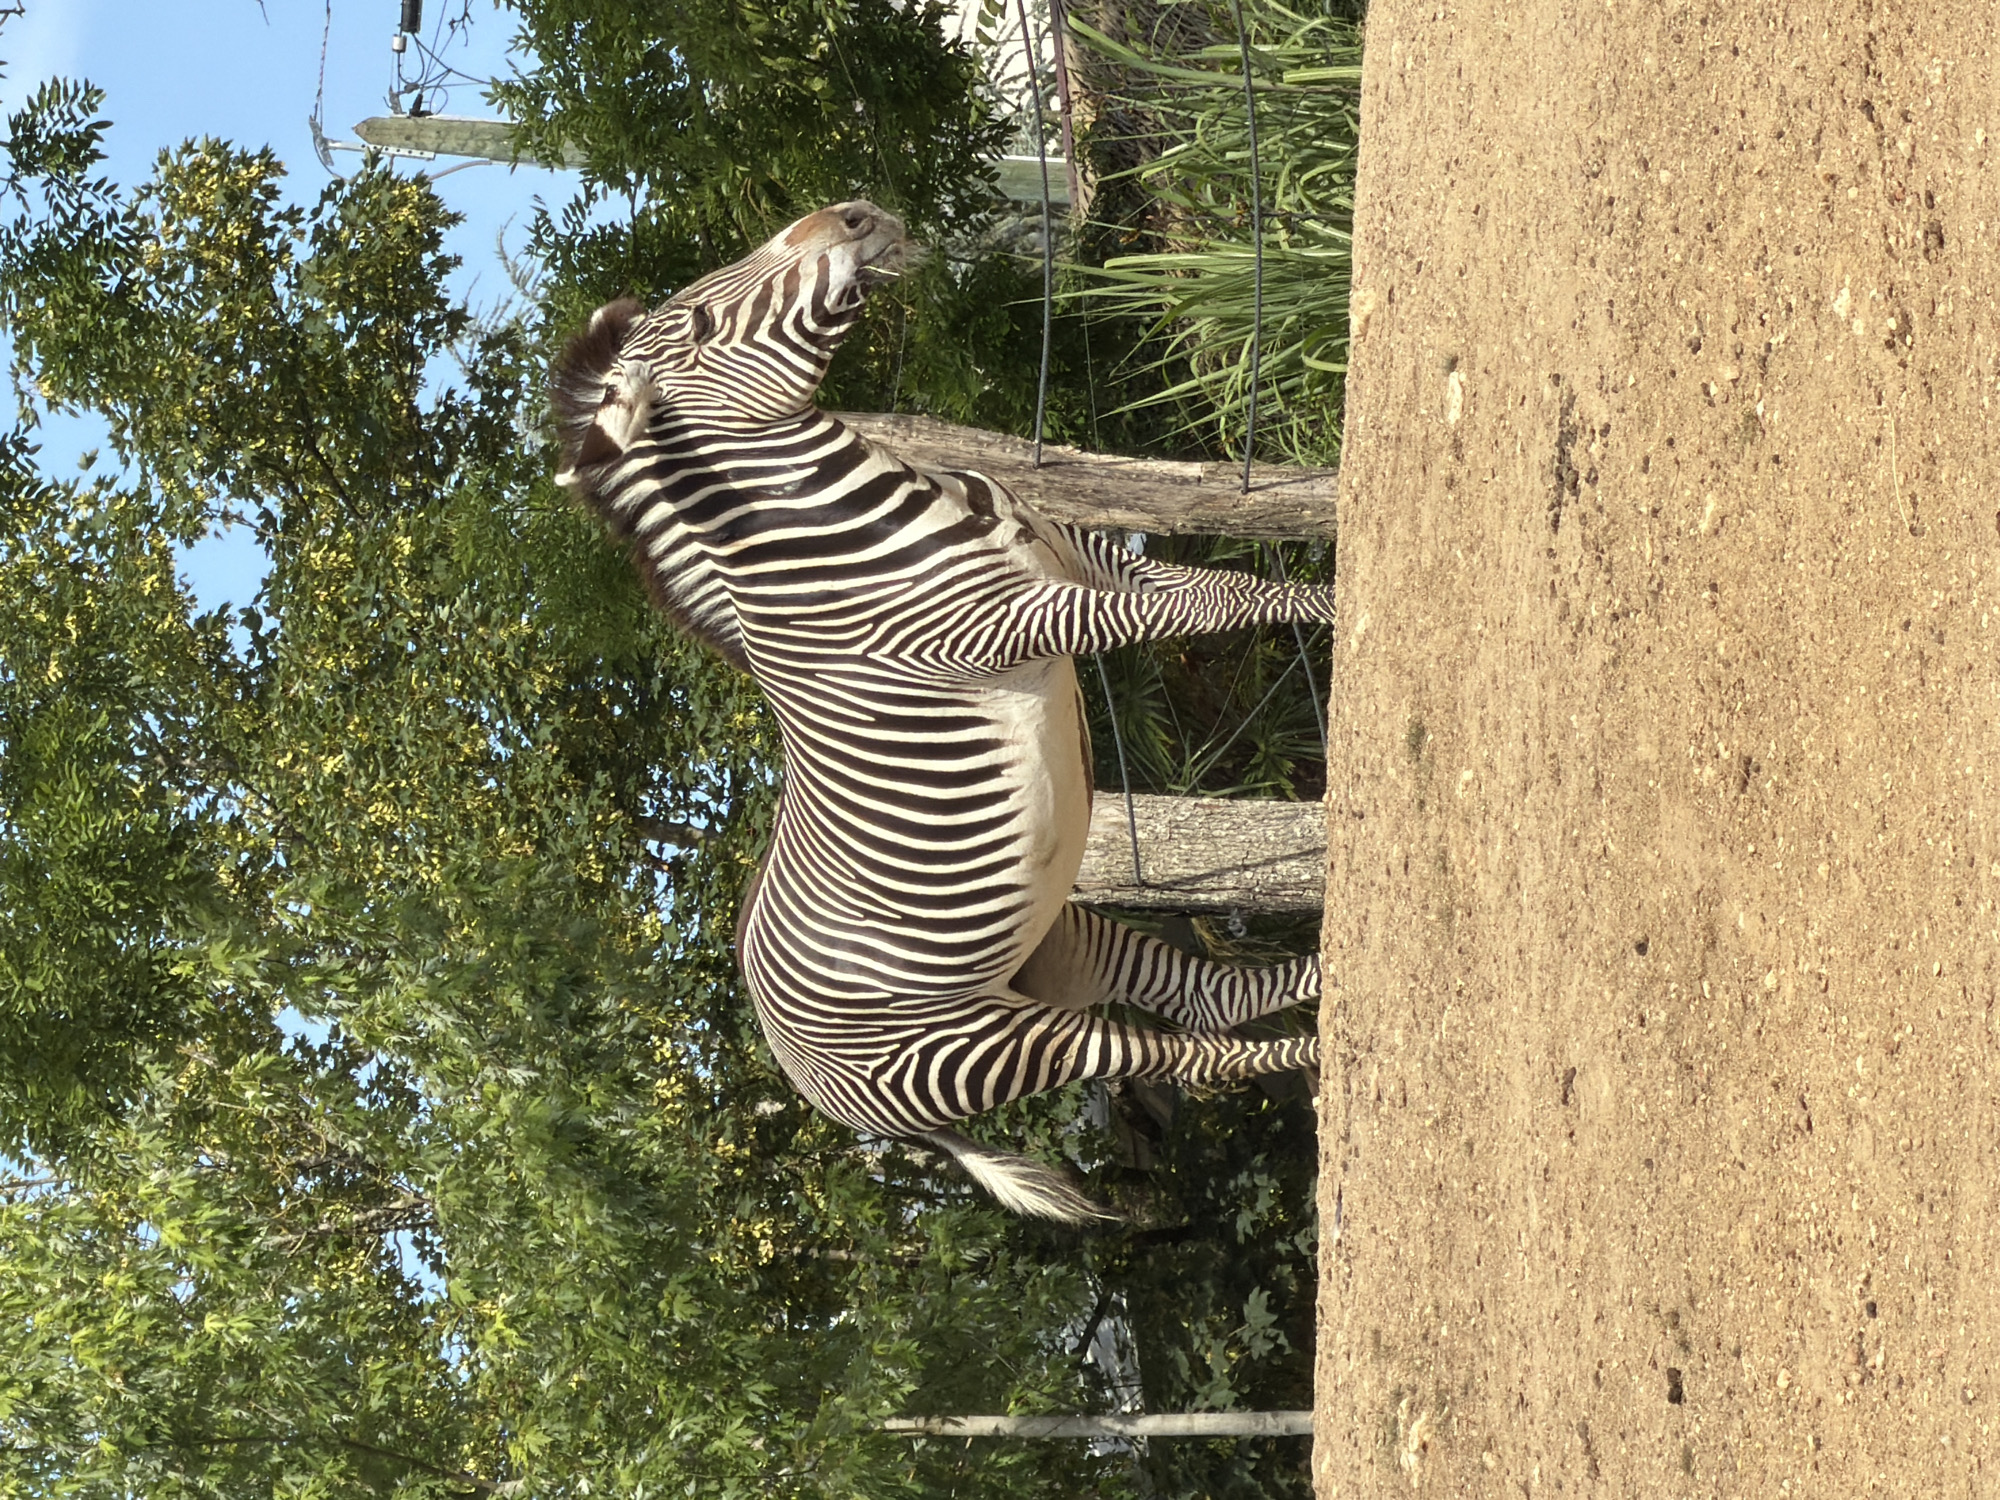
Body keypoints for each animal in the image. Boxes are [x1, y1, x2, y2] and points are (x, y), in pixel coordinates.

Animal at [552, 201, 1334, 1222]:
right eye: (699, 327)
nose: (854, 214)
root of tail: (798, 1074)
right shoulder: (1010, 624)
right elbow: (1201, 612)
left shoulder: (1080, 554)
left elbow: (1228, 590)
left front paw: (1336, 599)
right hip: (980, 1046)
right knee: (1184, 1056)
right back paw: (1324, 1053)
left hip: (1049, 944)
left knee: (1209, 1003)